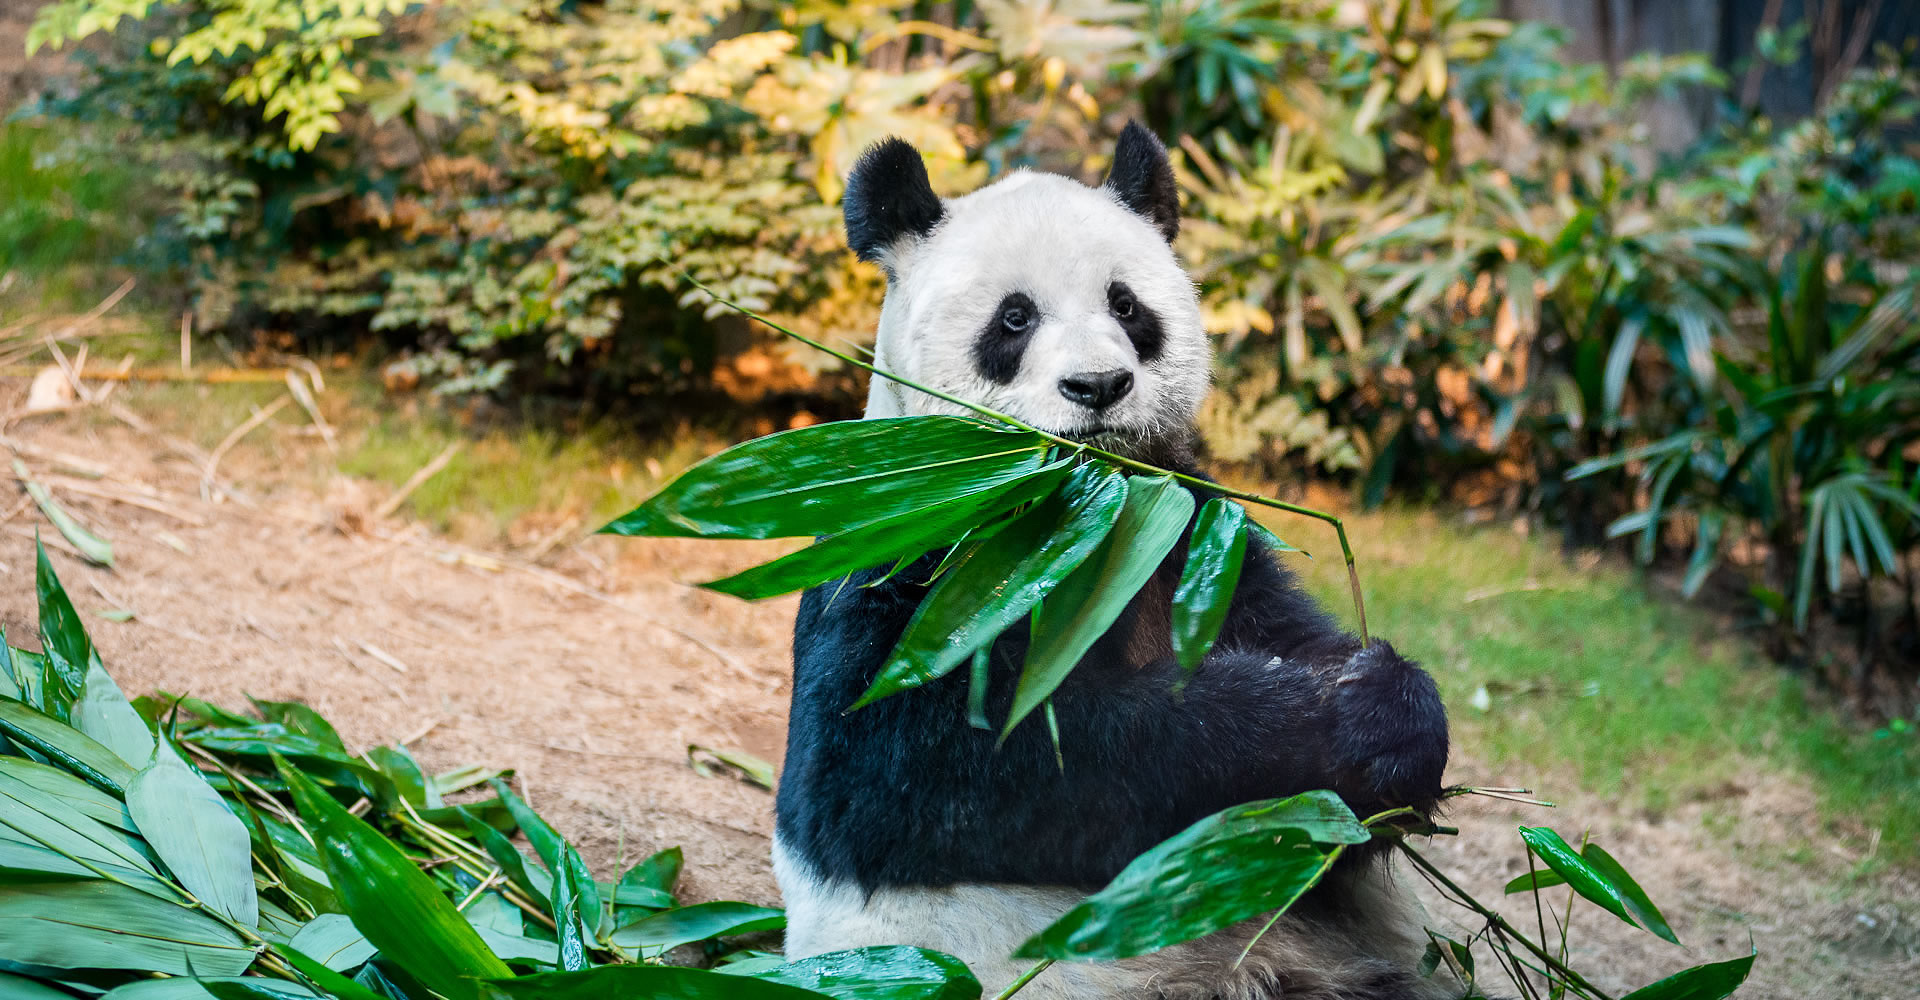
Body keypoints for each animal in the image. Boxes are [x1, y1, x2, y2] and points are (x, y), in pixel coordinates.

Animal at [768, 124, 1451, 998]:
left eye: (1126, 306)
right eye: (1014, 318)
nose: (1098, 386)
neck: (1094, 510)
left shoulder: (1194, 532)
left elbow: (1288, 633)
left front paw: (1384, 709)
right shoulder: (916, 545)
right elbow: (917, 767)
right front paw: (1303, 721)